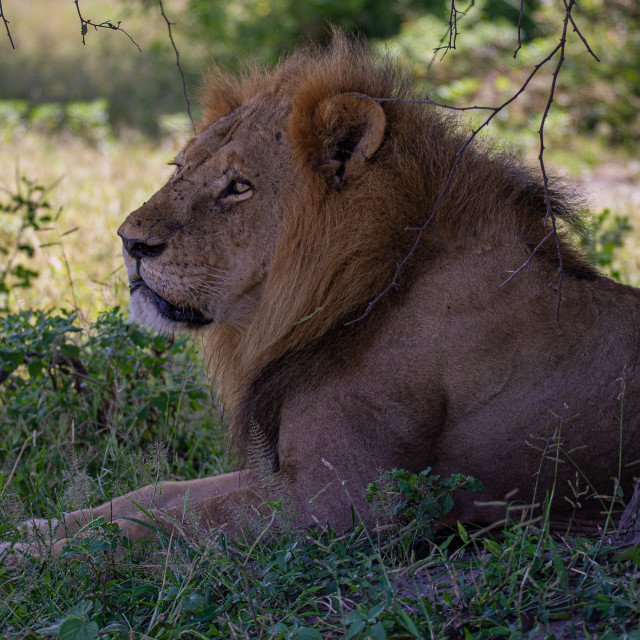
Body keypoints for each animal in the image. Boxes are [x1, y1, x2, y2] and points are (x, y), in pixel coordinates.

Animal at [5, 32, 640, 556]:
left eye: (238, 187)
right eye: (179, 167)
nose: (130, 242)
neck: (372, 285)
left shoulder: (346, 499)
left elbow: (164, 522)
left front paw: (34, 556)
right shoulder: (290, 470)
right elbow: (156, 493)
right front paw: (37, 527)